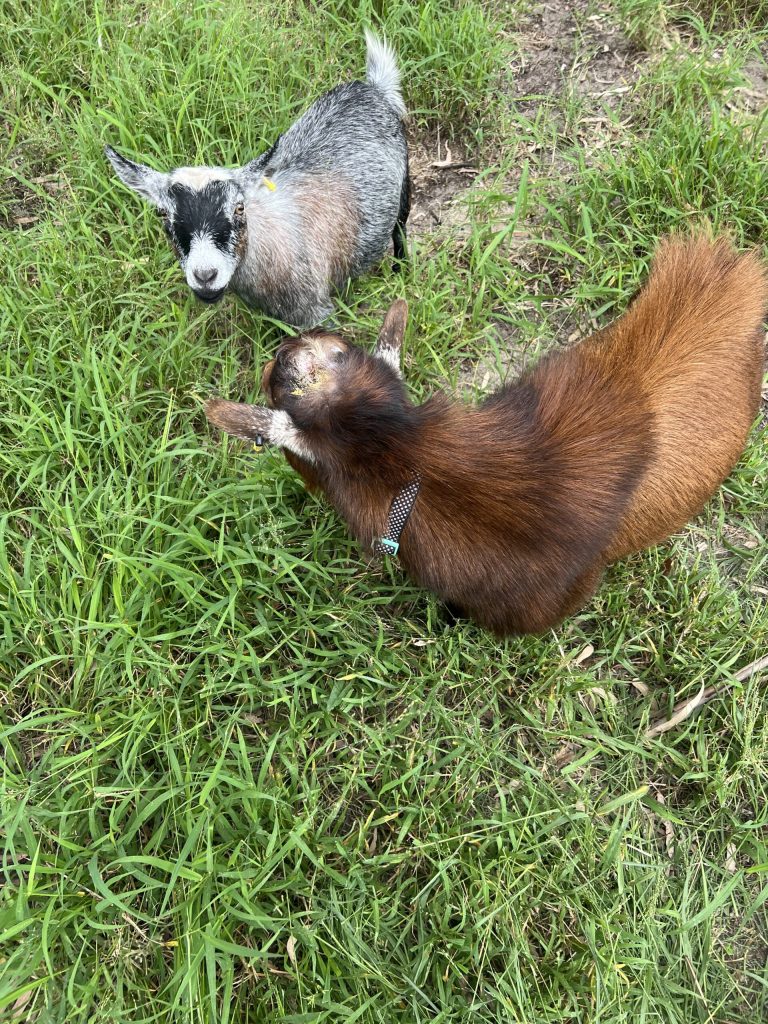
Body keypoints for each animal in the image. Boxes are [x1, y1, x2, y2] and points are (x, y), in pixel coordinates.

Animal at [105, 31, 409, 329]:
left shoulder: (318, 313)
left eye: (239, 208)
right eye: (162, 214)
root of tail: (372, 88)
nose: (205, 275)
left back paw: (400, 270)